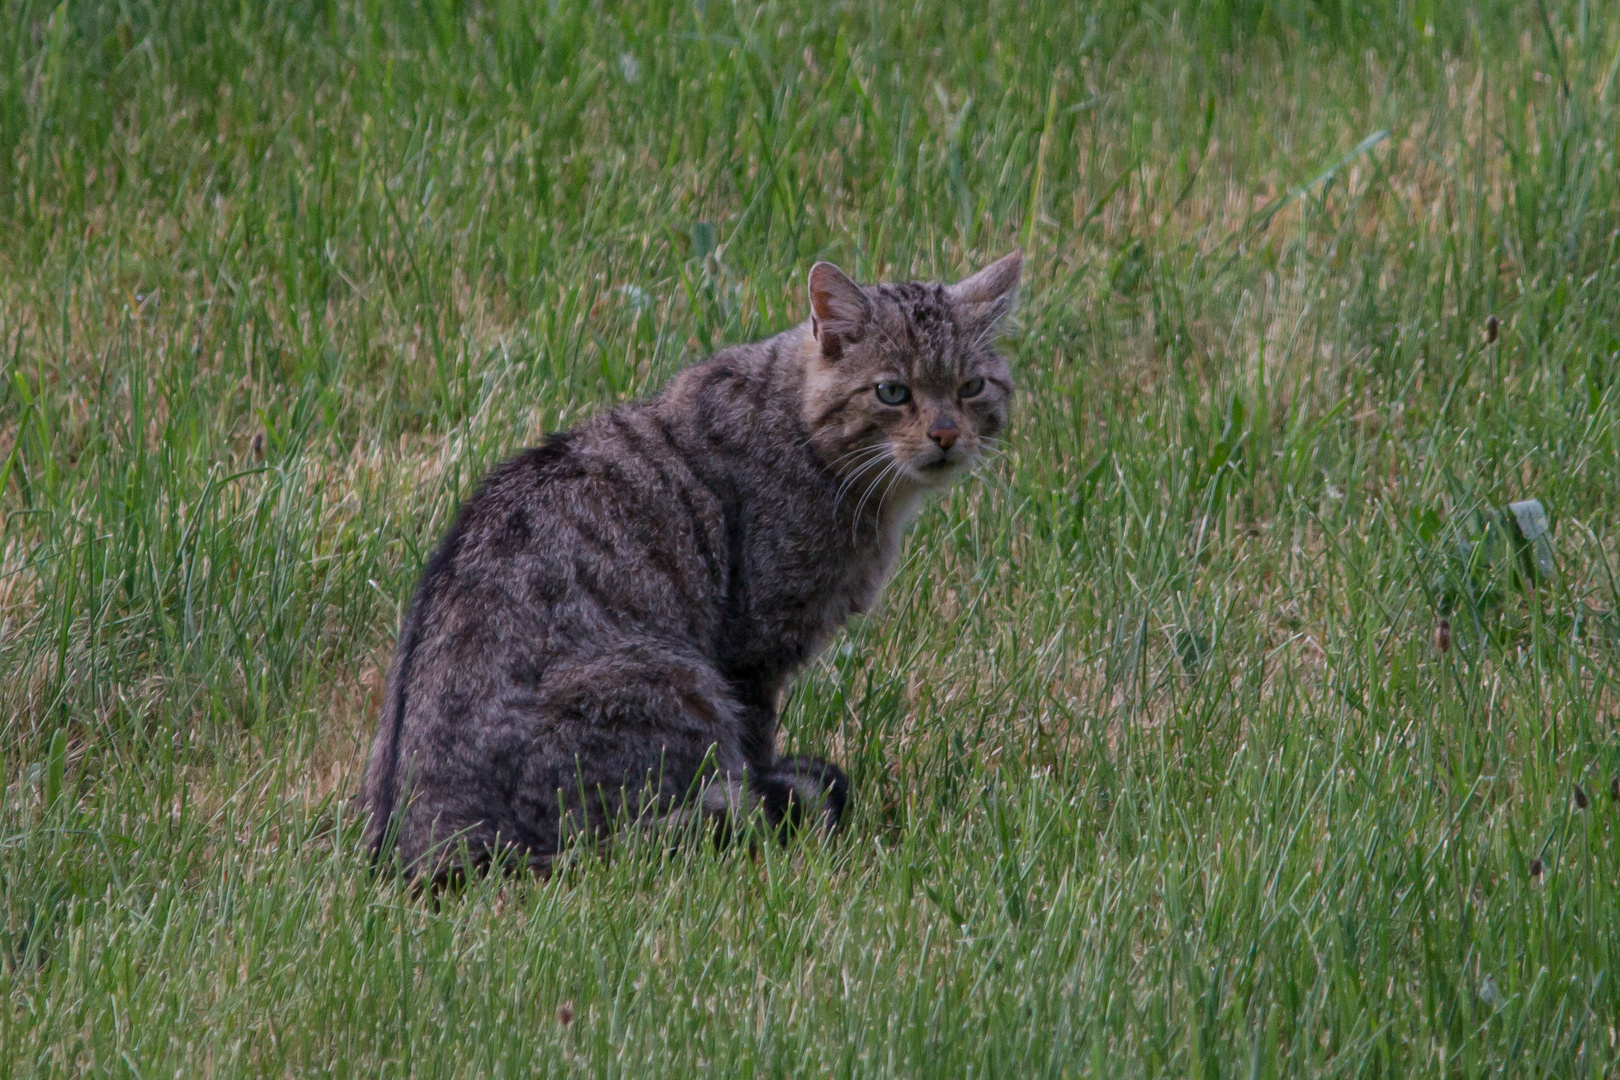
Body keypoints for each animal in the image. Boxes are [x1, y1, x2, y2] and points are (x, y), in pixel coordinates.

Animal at [361, 250, 1017, 880]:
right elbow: (758, 744)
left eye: (971, 387)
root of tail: (422, 842)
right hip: (675, 683)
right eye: (892, 392)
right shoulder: (753, 652)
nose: (946, 433)